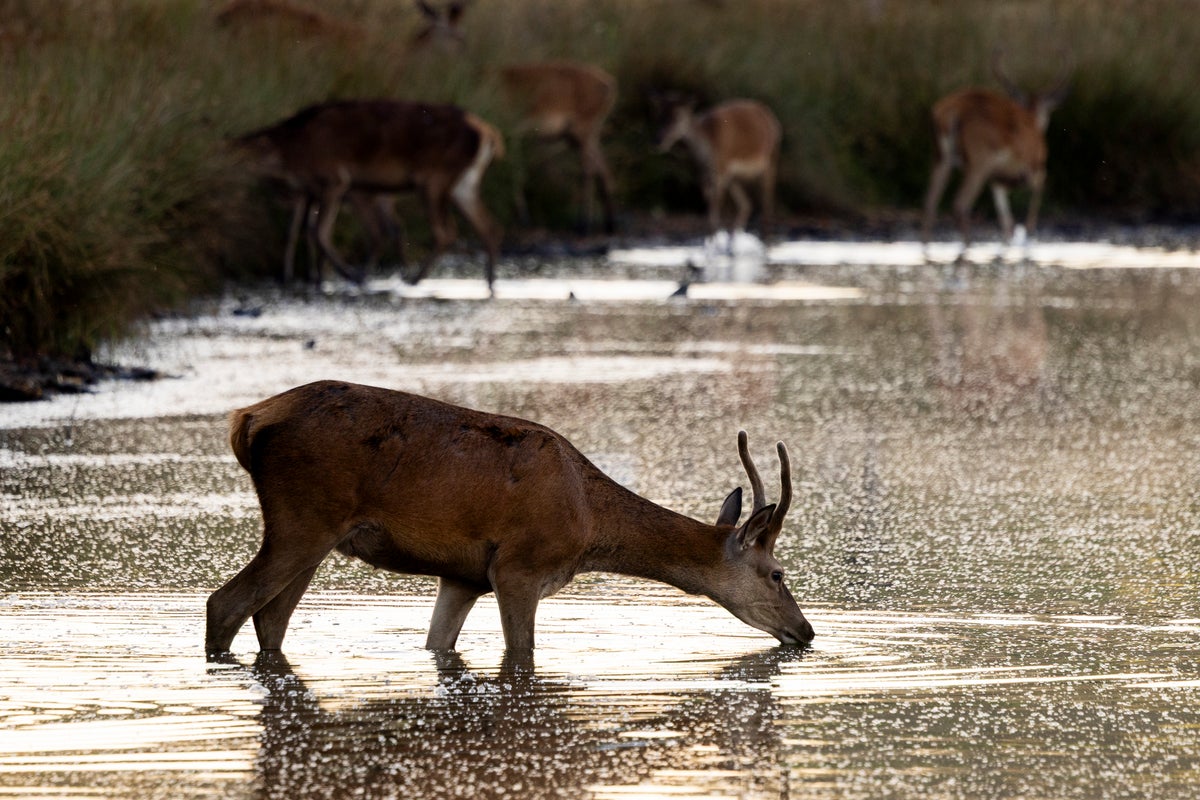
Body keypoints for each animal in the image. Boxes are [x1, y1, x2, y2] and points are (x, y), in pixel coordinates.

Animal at [205, 380, 815, 659]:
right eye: (778, 573)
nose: (806, 630)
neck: (588, 523)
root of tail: (247, 419)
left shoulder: (463, 575)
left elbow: (438, 644)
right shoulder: (519, 567)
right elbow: (522, 652)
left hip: (315, 534)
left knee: (270, 619)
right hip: (302, 517)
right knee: (226, 603)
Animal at [234, 100, 504, 292]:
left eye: (237, 154)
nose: (225, 170)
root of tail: (490, 135)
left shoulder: (335, 180)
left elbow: (319, 232)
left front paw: (343, 275)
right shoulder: (314, 190)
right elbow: (300, 231)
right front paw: (307, 278)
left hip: (433, 180)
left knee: (442, 232)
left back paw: (411, 279)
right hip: (462, 184)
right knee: (486, 225)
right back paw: (489, 282)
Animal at [499, 61, 618, 235]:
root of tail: (609, 82)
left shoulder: (512, 134)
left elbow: (514, 171)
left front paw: (524, 220)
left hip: (583, 131)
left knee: (588, 171)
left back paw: (583, 225)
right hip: (578, 136)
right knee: (603, 169)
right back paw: (609, 225)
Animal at [658, 97, 781, 237]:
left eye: (677, 116)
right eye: (658, 115)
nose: (658, 140)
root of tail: (773, 119)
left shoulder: (722, 167)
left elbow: (716, 204)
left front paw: (715, 236)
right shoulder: (704, 173)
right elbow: (709, 201)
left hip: (771, 158)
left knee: (767, 202)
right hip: (734, 176)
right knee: (747, 204)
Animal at [921, 52, 1072, 251]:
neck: (1032, 120)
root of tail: (949, 113)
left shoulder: (996, 180)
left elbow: (1006, 220)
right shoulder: (1034, 166)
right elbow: (1036, 194)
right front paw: (1029, 233)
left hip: (940, 158)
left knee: (929, 203)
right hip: (979, 161)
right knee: (960, 204)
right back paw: (968, 246)